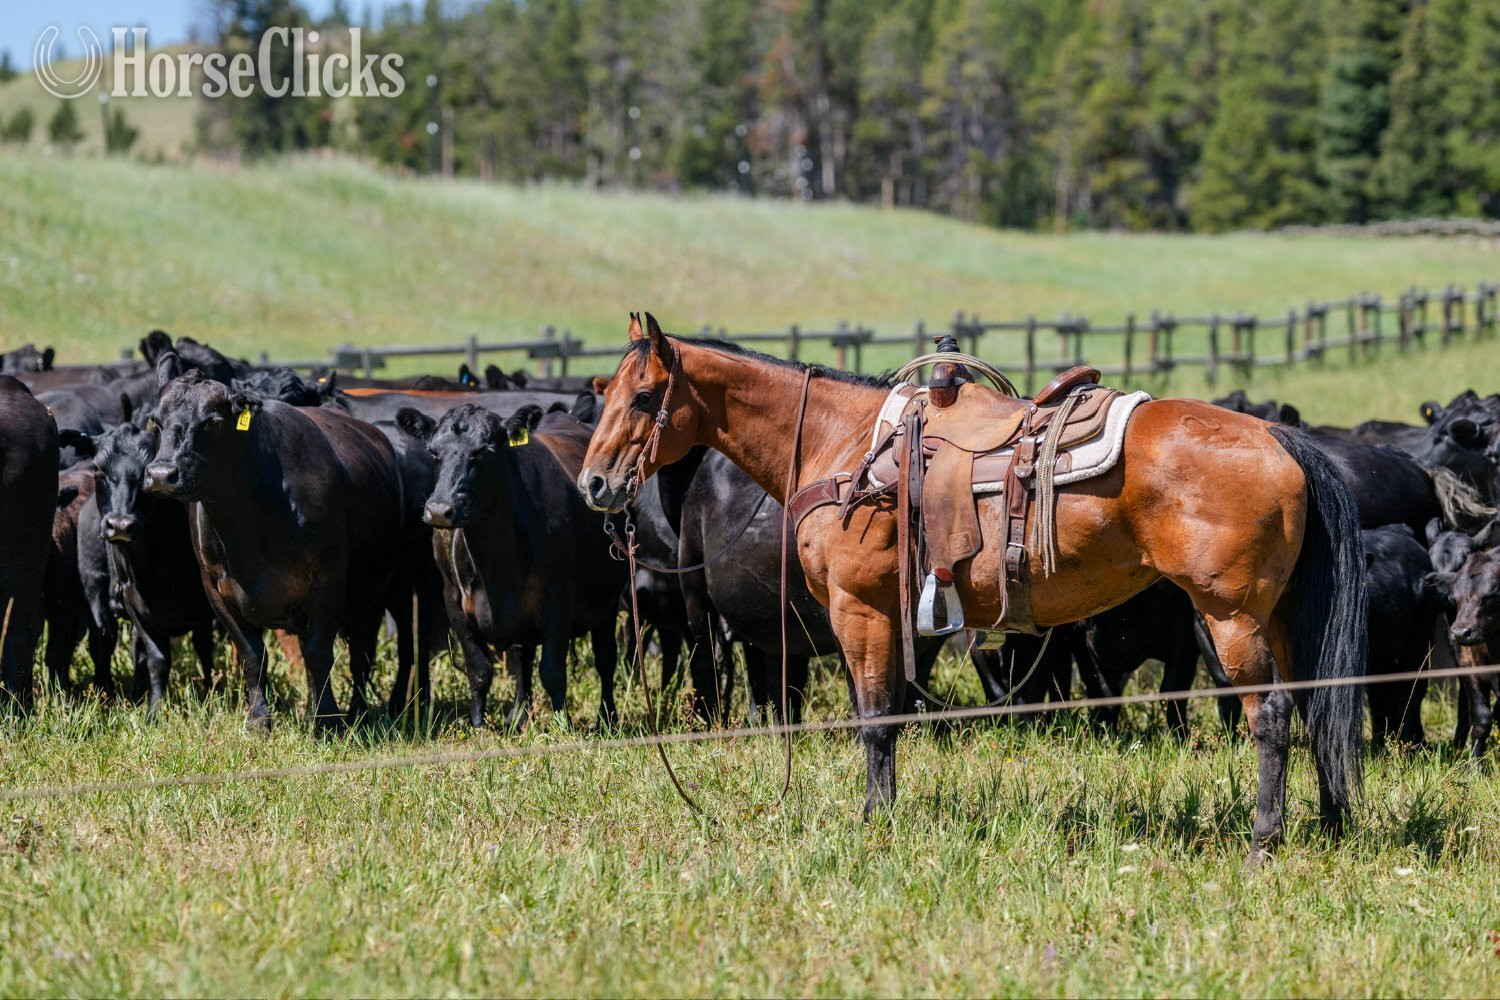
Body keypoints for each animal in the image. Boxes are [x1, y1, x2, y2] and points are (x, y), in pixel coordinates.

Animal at [578, 315, 1368, 858]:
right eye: (603, 392)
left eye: (644, 397)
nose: (595, 484)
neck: (848, 445)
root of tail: (1277, 439)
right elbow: (890, 716)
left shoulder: (860, 610)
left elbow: (875, 722)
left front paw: (875, 822)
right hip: (1284, 618)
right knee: (1318, 704)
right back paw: (1331, 825)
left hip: (1231, 616)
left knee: (1271, 715)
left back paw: (1265, 840)